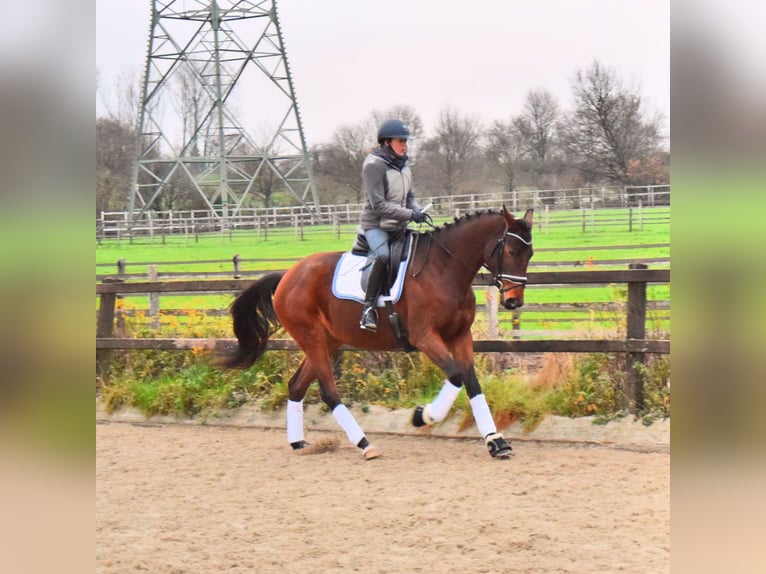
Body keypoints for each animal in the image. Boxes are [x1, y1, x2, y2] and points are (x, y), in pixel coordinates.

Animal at [222, 207, 536, 464]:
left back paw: (298, 442)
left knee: (297, 386)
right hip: (312, 339)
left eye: (529, 254)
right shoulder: (425, 337)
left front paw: (496, 441)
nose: (513, 302)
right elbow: (456, 376)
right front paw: (422, 416)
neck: (444, 268)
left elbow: (471, 383)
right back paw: (365, 444)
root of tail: (287, 275)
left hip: (327, 342)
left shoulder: (460, 337)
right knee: (328, 391)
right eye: (510, 252)